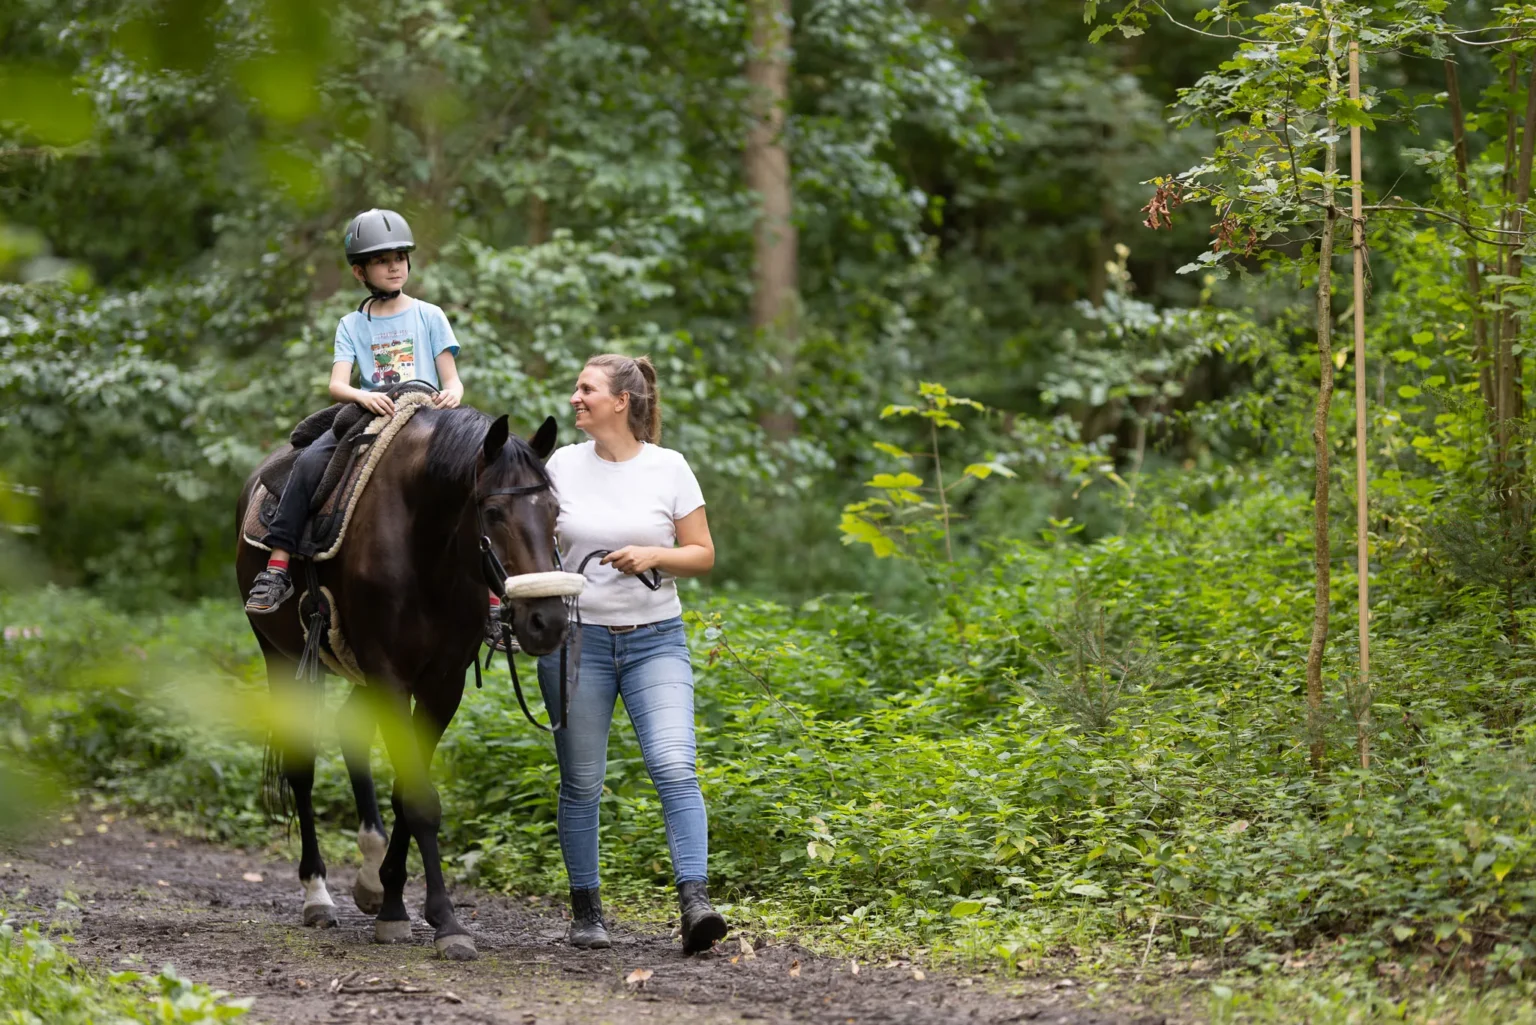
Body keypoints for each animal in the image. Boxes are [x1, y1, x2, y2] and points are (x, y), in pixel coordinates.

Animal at [235, 405, 571, 960]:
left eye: (555, 513)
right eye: (493, 513)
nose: (547, 621)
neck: (428, 549)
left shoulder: (440, 684)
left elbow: (405, 792)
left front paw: (392, 899)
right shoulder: (390, 675)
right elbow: (419, 799)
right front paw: (445, 921)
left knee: (350, 731)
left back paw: (369, 877)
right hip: (281, 657)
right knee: (302, 766)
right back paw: (317, 895)